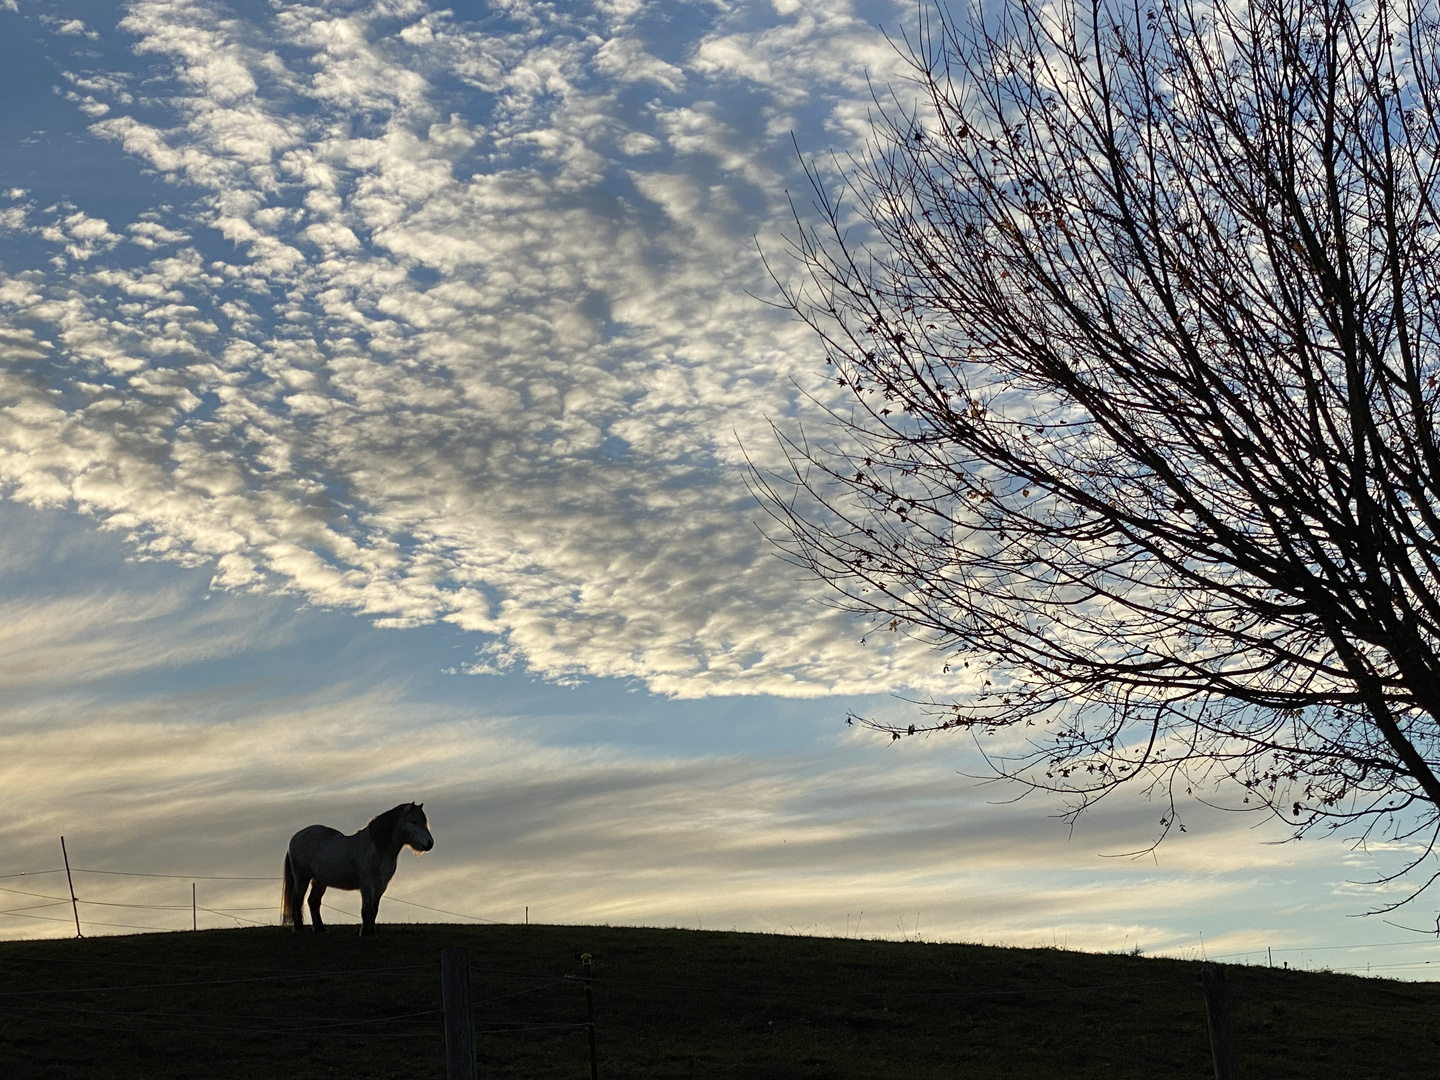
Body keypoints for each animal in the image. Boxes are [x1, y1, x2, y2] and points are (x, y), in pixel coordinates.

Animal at [280, 806, 432, 938]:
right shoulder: (367, 884)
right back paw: (299, 929)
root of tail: (295, 837)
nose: (430, 843)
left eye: (424, 821)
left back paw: (320, 929)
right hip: (302, 878)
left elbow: (374, 909)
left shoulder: (381, 885)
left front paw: (371, 932)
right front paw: (365, 933)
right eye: (413, 821)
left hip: (319, 881)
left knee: (313, 902)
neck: (376, 848)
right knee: (296, 899)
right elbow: (366, 908)